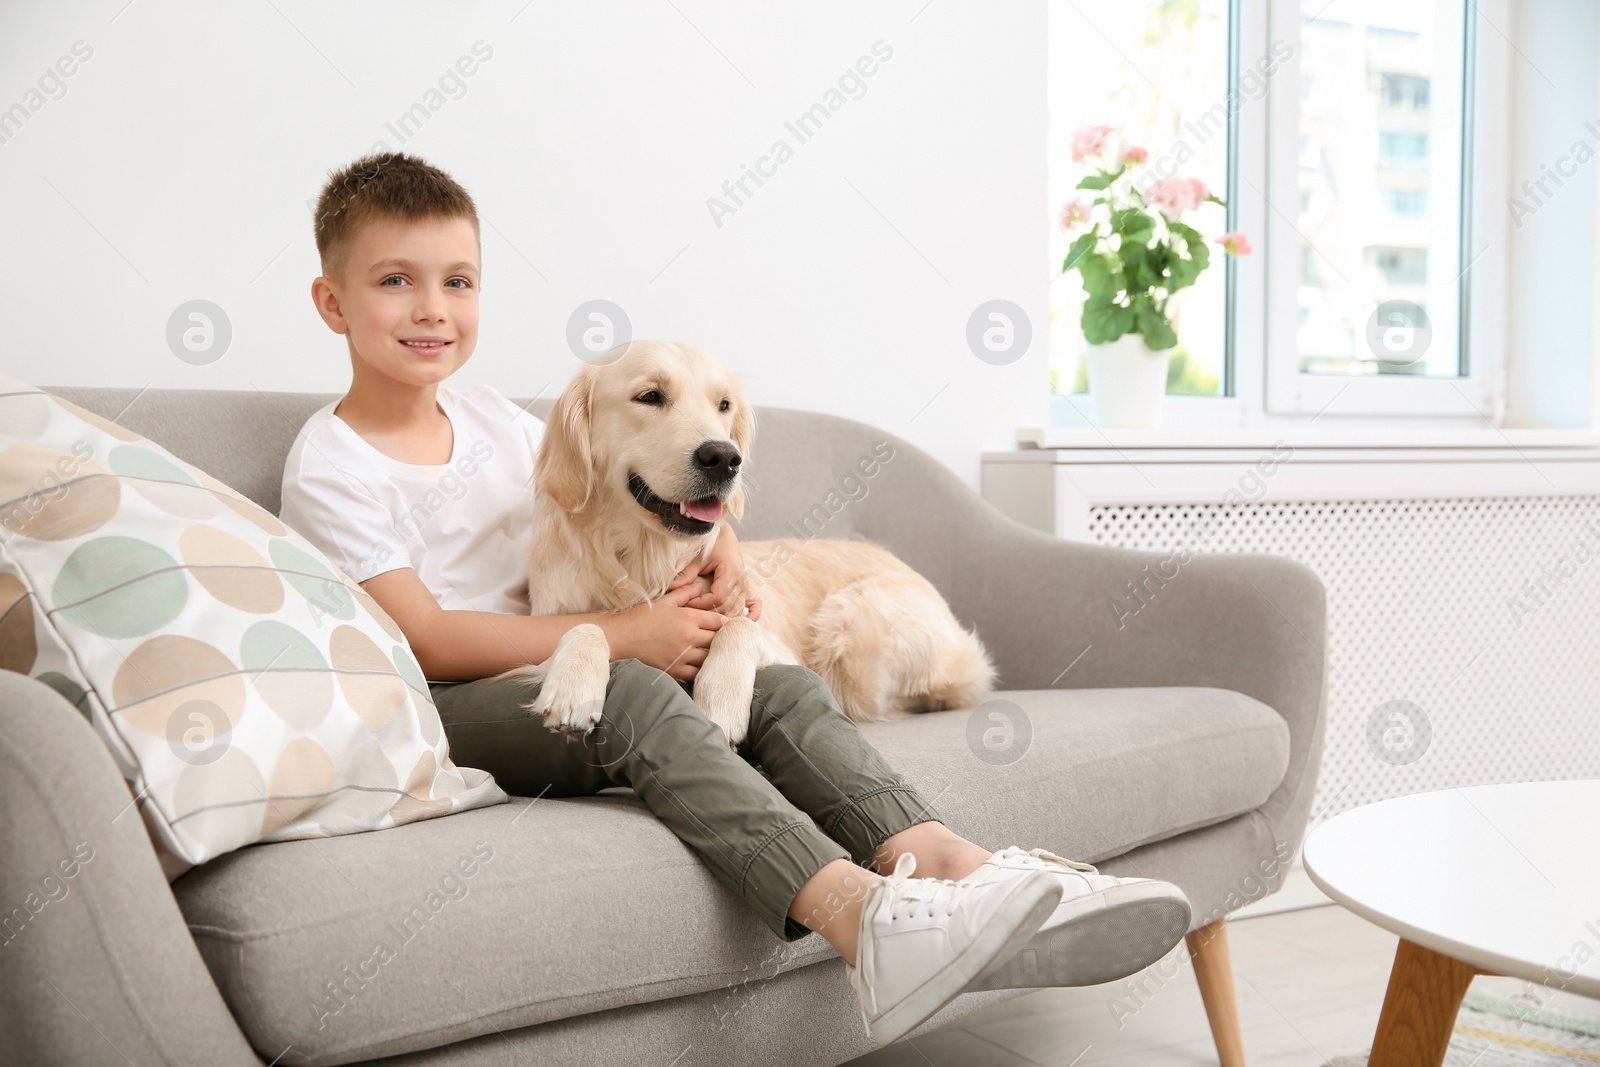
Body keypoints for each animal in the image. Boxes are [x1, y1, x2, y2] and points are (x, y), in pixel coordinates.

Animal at [499, 337, 992, 748]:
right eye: (650, 396)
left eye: (723, 405)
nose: (723, 457)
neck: (642, 560)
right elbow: (589, 624)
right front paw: (573, 686)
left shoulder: (769, 635)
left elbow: (739, 626)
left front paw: (719, 703)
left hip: (851, 621)